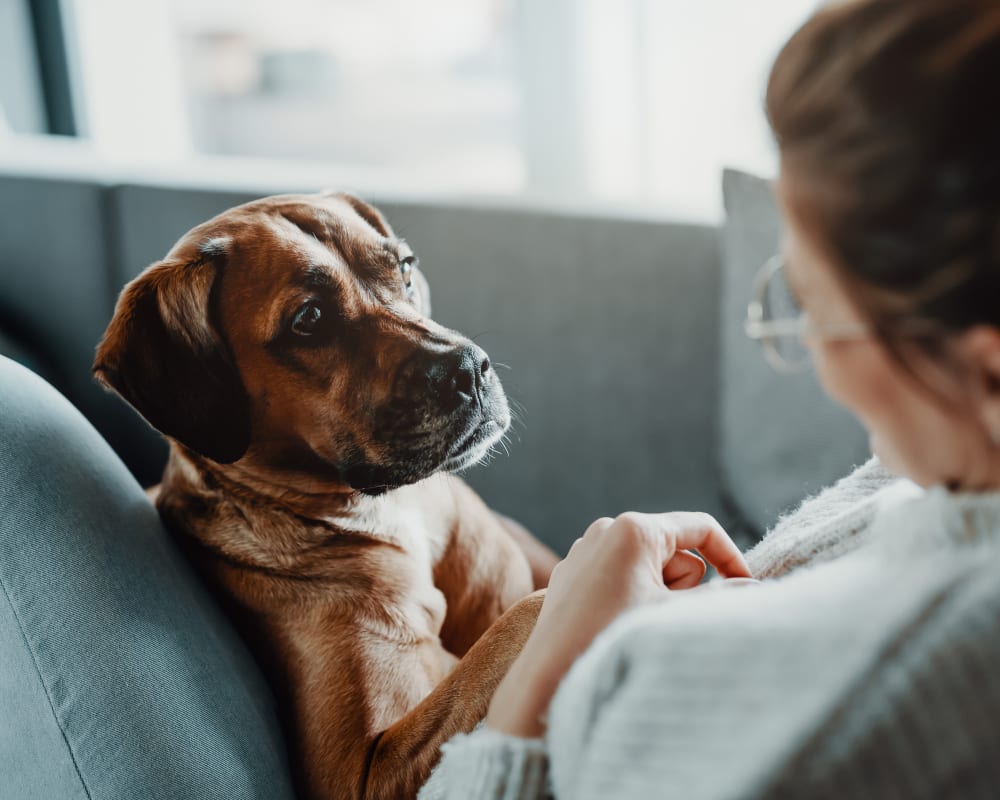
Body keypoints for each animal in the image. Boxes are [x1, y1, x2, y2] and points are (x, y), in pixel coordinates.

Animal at [93, 194, 556, 800]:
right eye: (308, 320)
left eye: (405, 269)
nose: (468, 368)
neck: (389, 512)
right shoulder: (358, 771)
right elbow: (522, 619)